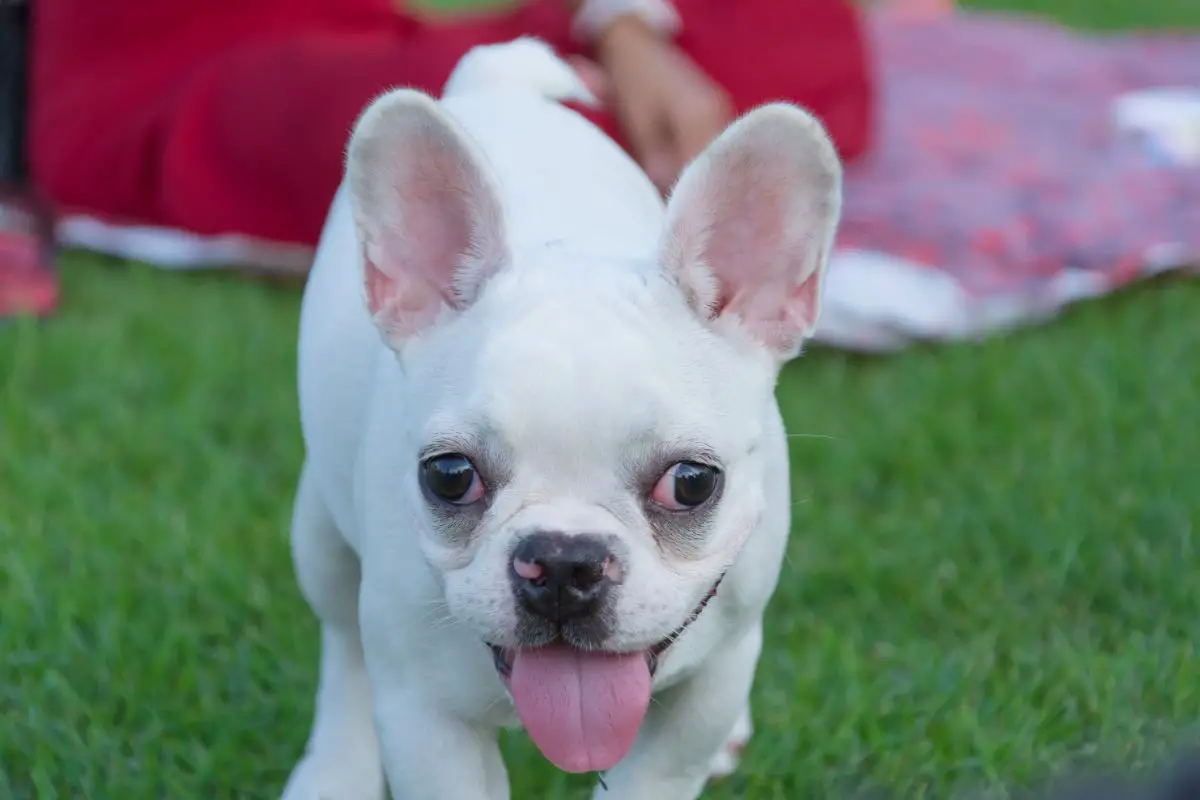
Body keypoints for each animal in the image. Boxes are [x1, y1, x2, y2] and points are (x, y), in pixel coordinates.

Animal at [282, 37, 844, 800]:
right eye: (449, 476)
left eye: (692, 483)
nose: (561, 561)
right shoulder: (426, 721)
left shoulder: (707, 689)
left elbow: (657, 770)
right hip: (321, 531)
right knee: (343, 645)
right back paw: (335, 768)